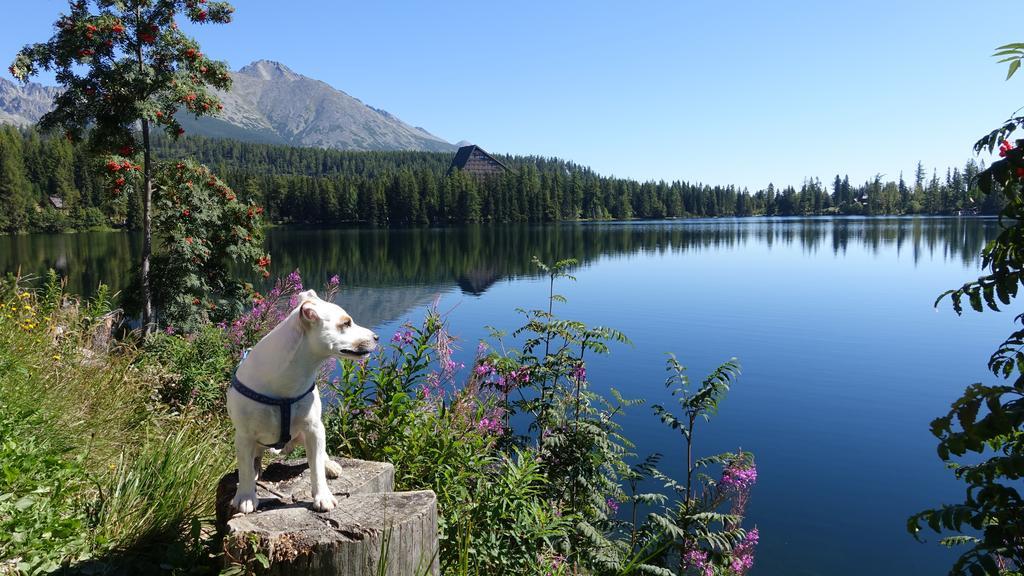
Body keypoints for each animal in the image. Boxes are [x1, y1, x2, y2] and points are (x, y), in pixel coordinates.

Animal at [226, 291, 378, 510]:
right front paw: (245, 497)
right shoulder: (244, 436)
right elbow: (245, 469)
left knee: (320, 456)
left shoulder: (314, 429)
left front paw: (322, 496)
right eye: (346, 323)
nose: (376, 337)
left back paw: (329, 464)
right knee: (254, 459)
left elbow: (316, 468)